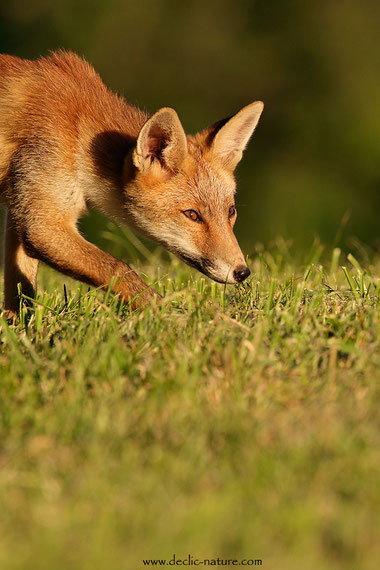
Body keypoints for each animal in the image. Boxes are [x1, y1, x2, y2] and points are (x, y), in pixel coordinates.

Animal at [0, 50, 264, 316]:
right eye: (192, 215)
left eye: (231, 211)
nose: (242, 272)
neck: (79, 135)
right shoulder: (41, 224)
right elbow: (120, 269)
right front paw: (173, 316)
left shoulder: (21, 208)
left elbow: (21, 293)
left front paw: (18, 325)